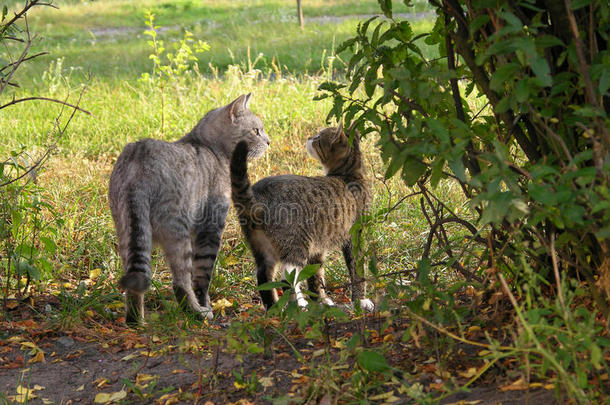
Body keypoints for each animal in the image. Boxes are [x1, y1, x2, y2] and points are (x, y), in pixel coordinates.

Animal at [108, 93, 268, 324]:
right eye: (256, 130)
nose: (269, 141)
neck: (210, 148)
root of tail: (137, 164)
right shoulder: (211, 227)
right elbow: (202, 276)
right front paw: (205, 306)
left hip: (129, 233)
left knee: (134, 281)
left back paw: (136, 321)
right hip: (178, 233)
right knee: (180, 282)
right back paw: (195, 311)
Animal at [228, 124, 372, 310]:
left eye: (318, 137)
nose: (310, 137)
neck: (348, 174)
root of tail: (257, 195)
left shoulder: (318, 248)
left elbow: (316, 275)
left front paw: (320, 300)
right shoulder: (354, 236)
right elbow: (357, 269)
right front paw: (361, 300)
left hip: (262, 247)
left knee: (263, 277)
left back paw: (274, 309)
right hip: (296, 245)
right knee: (287, 278)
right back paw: (300, 304)